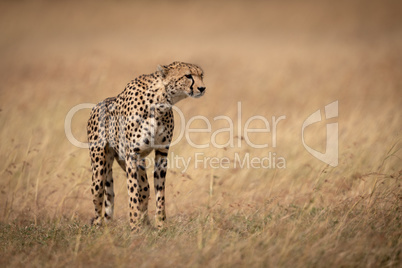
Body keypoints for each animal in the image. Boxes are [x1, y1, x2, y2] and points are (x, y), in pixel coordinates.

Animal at [87, 61, 206, 230]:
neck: (160, 102)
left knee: (144, 189)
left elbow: (159, 193)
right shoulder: (131, 155)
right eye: (188, 75)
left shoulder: (162, 152)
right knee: (99, 193)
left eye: (201, 75)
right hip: (100, 166)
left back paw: (146, 225)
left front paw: (160, 224)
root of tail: (98, 104)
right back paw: (99, 225)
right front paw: (134, 225)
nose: (202, 88)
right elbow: (132, 192)